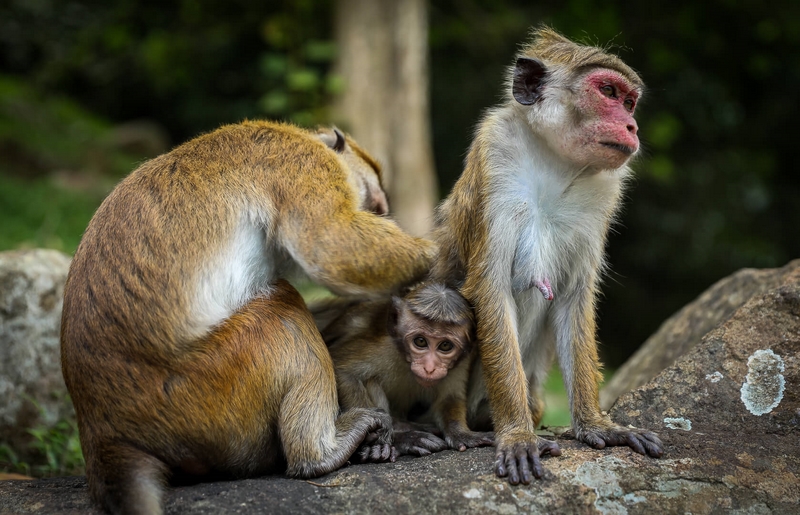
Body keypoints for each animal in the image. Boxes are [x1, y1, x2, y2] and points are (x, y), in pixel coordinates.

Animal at [61, 122, 438, 515]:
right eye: (377, 206)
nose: (382, 214)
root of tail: (102, 436)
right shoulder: (300, 163)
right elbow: (332, 247)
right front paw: (437, 255)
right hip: (206, 391)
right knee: (282, 310)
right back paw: (321, 454)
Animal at [310, 284, 494, 462]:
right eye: (420, 341)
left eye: (445, 346)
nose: (429, 368)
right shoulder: (385, 346)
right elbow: (343, 371)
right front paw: (382, 435)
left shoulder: (463, 361)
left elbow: (449, 397)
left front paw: (462, 433)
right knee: (371, 380)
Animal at [432, 27, 664, 488]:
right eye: (608, 92)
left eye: (629, 102)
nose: (631, 125)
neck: (555, 162)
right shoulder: (496, 154)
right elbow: (490, 289)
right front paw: (518, 435)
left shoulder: (605, 190)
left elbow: (575, 297)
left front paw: (596, 424)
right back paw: (456, 426)